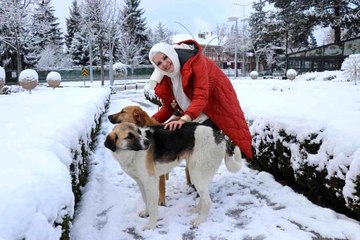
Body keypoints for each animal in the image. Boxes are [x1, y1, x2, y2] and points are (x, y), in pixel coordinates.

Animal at [105, 122, 245, 229]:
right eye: (129, 136)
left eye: (138, 132)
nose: (148, 143)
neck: (130, 153)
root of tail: (221, 137)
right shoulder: (141, 182)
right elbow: (146, 201)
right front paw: (146, 213)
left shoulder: (151, 182)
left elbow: (152, 205)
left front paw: (151, 225)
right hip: (200, 174)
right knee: (204, 197)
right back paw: (196, 211)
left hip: (196, 174)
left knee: (208, 202)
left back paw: (199, 221)